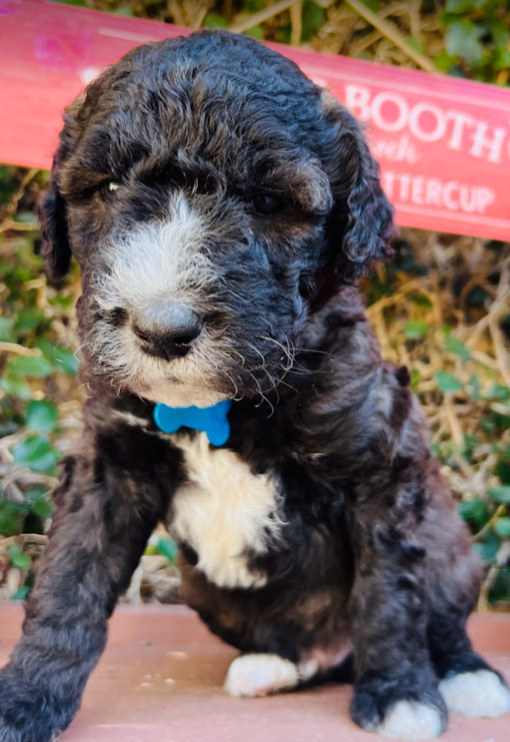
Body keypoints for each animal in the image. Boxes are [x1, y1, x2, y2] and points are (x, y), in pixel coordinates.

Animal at [1, 30, 508, 742]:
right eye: (106, 187)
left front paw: (402, 694)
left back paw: (467, 677)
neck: (217, 407)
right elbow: (66, 586)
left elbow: (389, 591)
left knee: (441, 612)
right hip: (206, 592)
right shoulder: (108, 466)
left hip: (449, 542)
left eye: (268, 203)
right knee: (308, 658)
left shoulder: (380, 464)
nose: (162, 329)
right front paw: (23, 699)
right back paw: (271, 668)